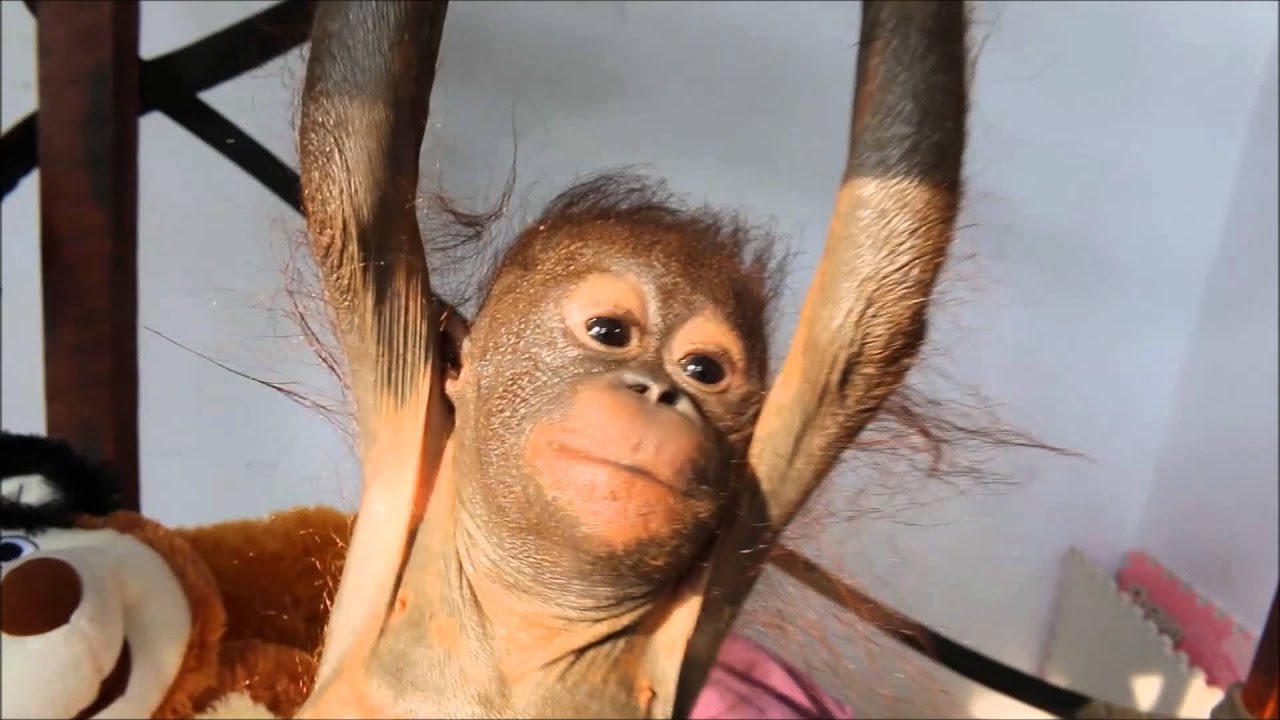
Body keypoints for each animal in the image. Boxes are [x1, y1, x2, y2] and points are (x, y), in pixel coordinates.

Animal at [290, 1, 968, 717]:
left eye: (703, 372)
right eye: (609, 332)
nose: (658, 391)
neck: (530, 622)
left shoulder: (755, 499)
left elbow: (870, 308)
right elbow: (355, 170)